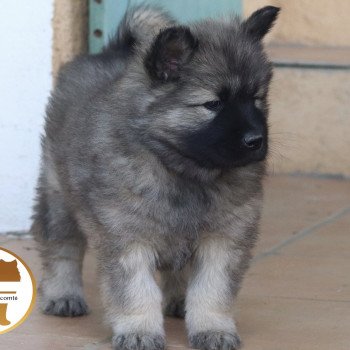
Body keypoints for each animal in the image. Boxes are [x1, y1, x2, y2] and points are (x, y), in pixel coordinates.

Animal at [32, 4, 278, 350]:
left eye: (257, 97)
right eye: (213, 103)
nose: (257, 140)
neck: (182, 169)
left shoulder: (224, 239)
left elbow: (212, 289)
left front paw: (213, 329)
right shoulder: (127, 239)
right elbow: (136, 291)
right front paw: (139, 331)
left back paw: (179, 301)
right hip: (59, 198)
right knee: (62, 248)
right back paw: (63, 295)